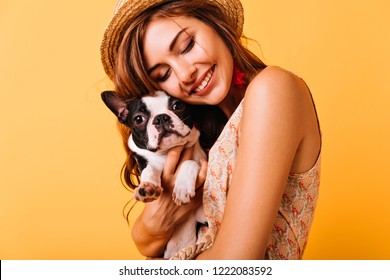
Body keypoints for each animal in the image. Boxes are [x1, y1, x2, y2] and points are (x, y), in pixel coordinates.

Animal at [101, 90, 207, 258]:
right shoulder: (146, 163)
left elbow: (190, 162)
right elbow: (149, 169)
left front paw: (182, 188)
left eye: (177, 106)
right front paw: (148, 187)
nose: (161, 118)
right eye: (139, 119)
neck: (166, 153)